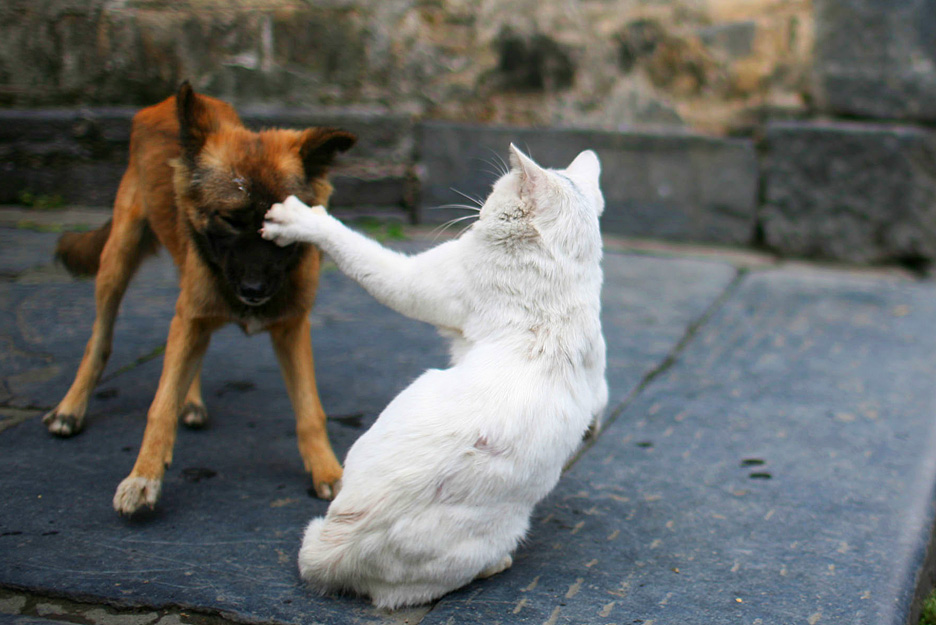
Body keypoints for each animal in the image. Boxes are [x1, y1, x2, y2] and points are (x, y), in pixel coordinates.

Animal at [43, 81, 354, 512]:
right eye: (229, 220)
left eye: (281, 225)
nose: (254, 292)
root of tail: (160, 105)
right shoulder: (193, 311)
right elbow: (160, 405)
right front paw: (143, 476)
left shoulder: (291, 325)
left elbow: (310, 409)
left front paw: (327, 471)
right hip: (117, 262)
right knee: (99, 342)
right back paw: (71, 408)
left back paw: (189, 400)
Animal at [260, 144, 608, 608]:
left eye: (495, 193)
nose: (478, 212)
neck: (561, 275)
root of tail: (335, 547)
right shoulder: (598, 369)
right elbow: (600, 401)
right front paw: (591, 431)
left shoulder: (417, 282)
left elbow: (358, 251)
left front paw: (299, 219)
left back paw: (499, 563)